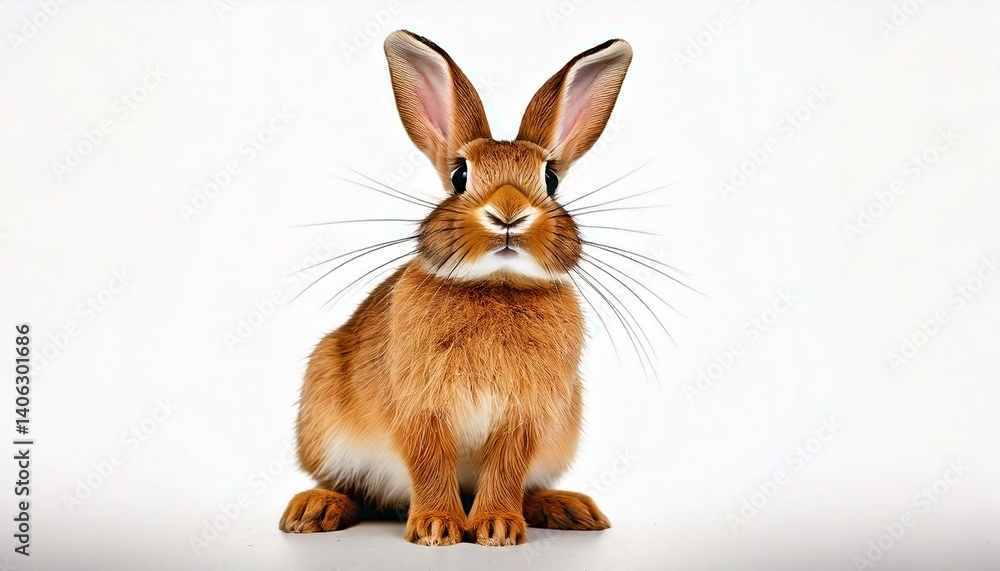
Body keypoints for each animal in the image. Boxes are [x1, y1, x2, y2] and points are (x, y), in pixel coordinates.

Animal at [279, 29, 632, 547]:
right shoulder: (419, 408)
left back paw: (569, 509)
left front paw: (497, 528)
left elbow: (506, 469)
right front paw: (436, 527)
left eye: (551, 179)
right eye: (459, 176)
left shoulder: (525, 418)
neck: (495, 285)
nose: (508, 213)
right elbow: (429, 464)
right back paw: (314, 509)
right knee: (352, 488)